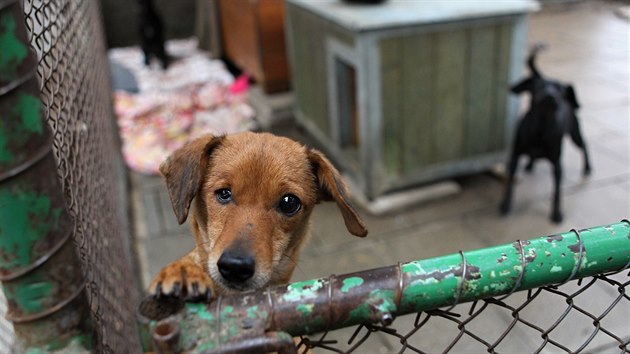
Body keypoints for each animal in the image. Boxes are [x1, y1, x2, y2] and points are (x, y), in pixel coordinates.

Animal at [504, 42, 592, 223]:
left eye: (560, 90)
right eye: (539, 86)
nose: (550, 96)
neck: (540, 129)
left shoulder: (558, 165)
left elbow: (557, 192)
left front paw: (557, 214)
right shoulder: (515, 157)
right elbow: (509, 185)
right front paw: (505, 206)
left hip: (575, 134)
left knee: (585, 146)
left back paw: (587, 167)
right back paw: (530, 164)